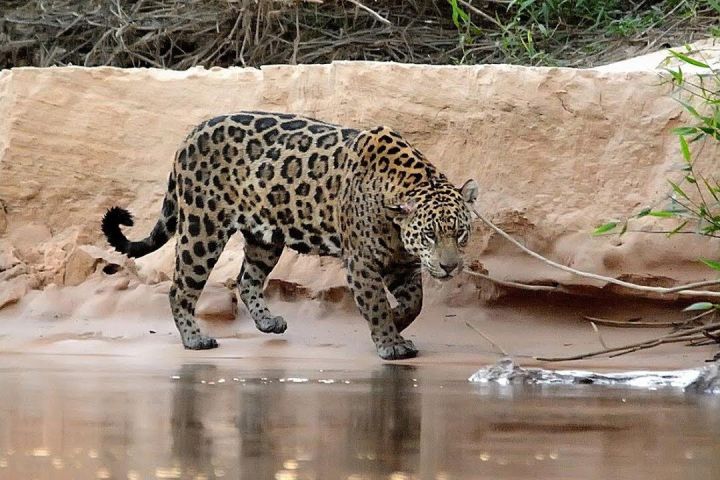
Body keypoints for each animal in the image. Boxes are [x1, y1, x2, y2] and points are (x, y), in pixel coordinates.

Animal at [101, 111, 478, 360]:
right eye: (429, 235)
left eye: (460, 233)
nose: (449, 267)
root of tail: (191, 134)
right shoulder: (361, 262)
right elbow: (375, 302)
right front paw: (391, 341)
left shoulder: (403, 263)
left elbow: (415, 302)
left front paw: (398, 318)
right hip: (203, 229)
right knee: (180, 287)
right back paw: (195, 339)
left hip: (265, 237)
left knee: (247, 279)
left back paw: (268, 323)